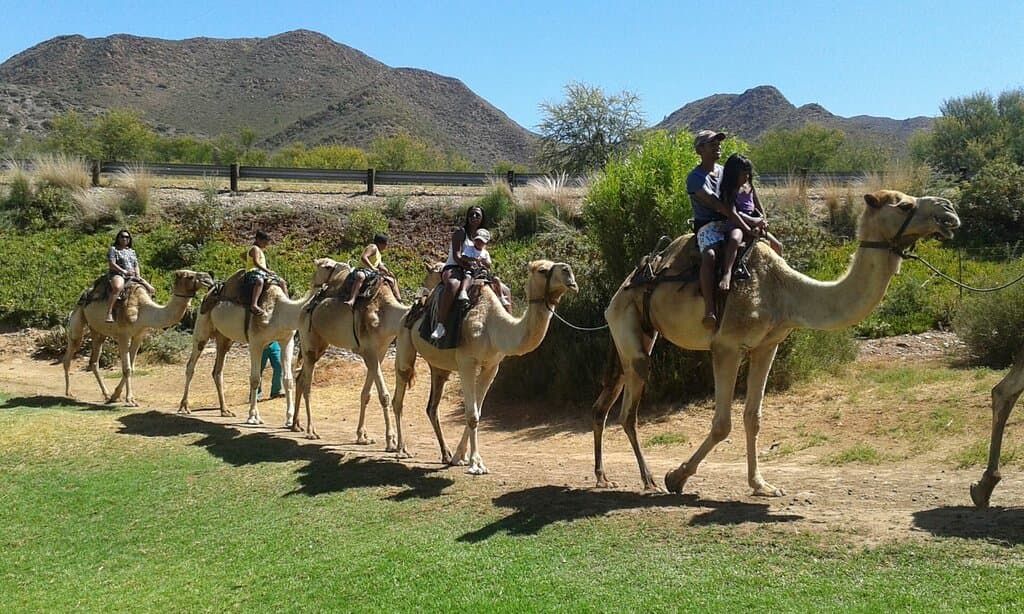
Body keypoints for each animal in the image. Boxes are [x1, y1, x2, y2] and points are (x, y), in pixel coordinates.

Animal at [63, 270, 215, 406]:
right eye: (189, 276)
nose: (209, 278)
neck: (143, 310)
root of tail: (86, 293)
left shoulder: (139, 335)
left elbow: (132, 367)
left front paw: (115, 395)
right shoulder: (123, 335)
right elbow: (127, 368)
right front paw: (130, 400)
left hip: (98, 331)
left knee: (94, 361)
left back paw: (105, 394)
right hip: (79, 316)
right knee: (71, 348)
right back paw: (69, 392)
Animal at [177, 258, 347, 426]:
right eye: (327, 266)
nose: (346, 267)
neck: (281, 312)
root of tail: (209, 293)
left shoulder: (287, 341)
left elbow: (287, 379)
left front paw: (289, 418)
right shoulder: (255, 342)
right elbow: (255, 379)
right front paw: (253, 416)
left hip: (224, 337)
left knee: (217, 370)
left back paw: (225, 410)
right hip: (202, 326)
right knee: (191, 364)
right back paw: (184, 407)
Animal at [291, 263, 444, 444]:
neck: (386, 314)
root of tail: (304, 308)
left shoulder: (380, 351)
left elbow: (366, 394)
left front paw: (362, 436)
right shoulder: (368, 350)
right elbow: (384, 396)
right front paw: (391, 440)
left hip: (320, 344)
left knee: (300, 378)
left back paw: (295, 425)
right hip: (309, 341)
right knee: (307, 384)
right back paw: (311, 430)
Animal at [392, 260, 578, 474]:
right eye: (542, 270)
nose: (569, 274)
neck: (493, 325)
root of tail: (412, 309)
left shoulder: (491, 366)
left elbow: (477, 412)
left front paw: (459, 457)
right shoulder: (467, 363)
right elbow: (472, 414)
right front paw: (476, 464)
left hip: (439, 366)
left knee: (432, 406)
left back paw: (445, 454)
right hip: (404, 342)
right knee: (399, 395)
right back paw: (401, 450)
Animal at [593, 190, 961, 495]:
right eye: (904, 205)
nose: (949, 211)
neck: (784, 292)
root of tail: (623, 286)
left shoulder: (767, 346)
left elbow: (752, 417)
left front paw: (762, 485)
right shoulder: (726, 346)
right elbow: (722, 423)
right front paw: (676, 477)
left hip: (638, 335)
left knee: (605, 403)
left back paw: (603, 476)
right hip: (629, 325)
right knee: (628, 412)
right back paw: (649, 480)